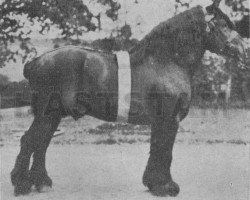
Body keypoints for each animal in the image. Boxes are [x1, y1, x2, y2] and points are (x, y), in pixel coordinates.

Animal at [11, 0, 246, 197]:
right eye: (223, 25)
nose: (244, 51)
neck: (165, 61)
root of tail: (35, 62)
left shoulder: (161, 122)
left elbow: (158, 148)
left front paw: (153, 183)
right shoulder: (169, 120)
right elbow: (165, 151)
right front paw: (165, 186)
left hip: (53, 115)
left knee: (41, 142)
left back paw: (41, 182)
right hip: (47, 113)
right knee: (30, 141)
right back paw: (22, 185)